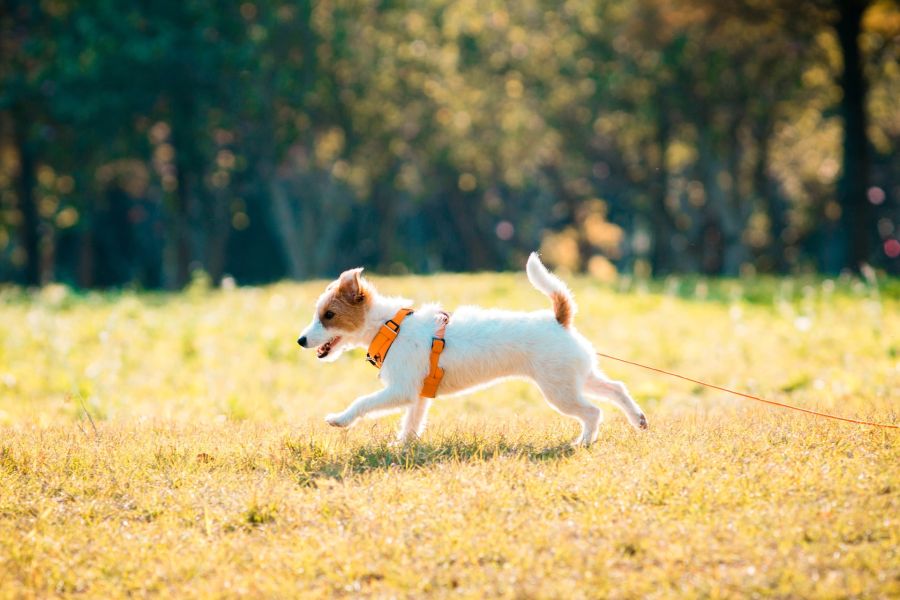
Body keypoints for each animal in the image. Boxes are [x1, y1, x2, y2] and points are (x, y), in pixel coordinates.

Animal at [298, 253, 652, 446]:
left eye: (328, 315)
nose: (301, 341)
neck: (389, 326)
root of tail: (558, 320)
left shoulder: (400, 390)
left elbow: (362, 402)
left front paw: (340, 419)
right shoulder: (417, 395)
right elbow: (412, 422)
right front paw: (402, 446)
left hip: (559, 390)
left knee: (593, 412)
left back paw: (584, 441)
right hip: (576, 377)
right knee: (616, 388)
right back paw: (637, 419)